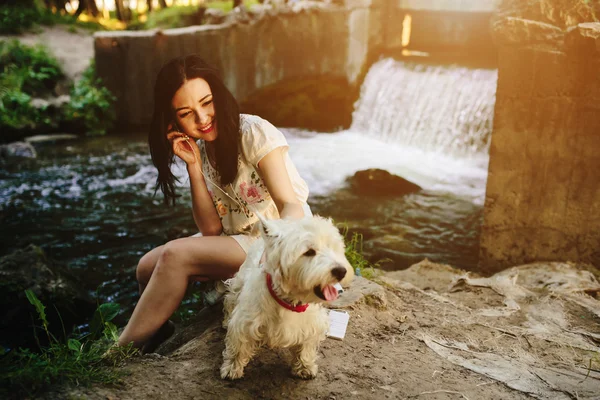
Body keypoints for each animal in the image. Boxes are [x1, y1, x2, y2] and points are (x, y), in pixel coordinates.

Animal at [219, 214, 352, 380]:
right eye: (309, 252)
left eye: (333, 247)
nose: (341, 271)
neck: (290, 301)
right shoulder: (246, 321)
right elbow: (239, 344)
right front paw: (231, 367)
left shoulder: (311, 324)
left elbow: (306, 346)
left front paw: (304, 367)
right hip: (239, 280)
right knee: (230, 298)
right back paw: (226, 321)